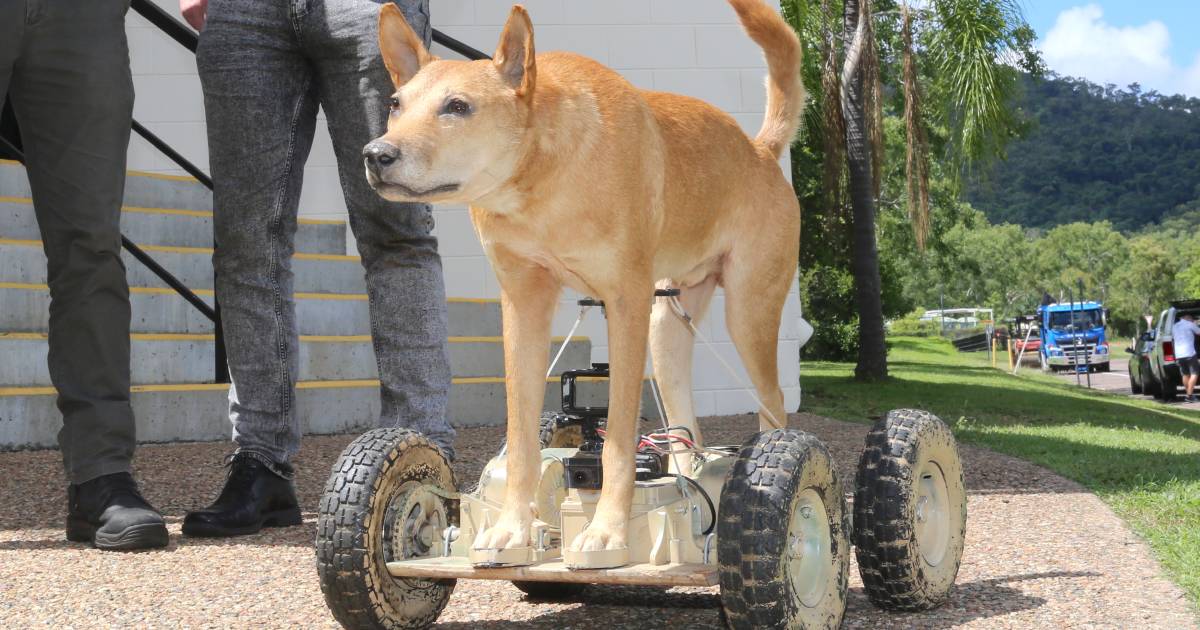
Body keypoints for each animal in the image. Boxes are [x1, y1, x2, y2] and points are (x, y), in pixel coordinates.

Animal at [360, 0, 801, 566]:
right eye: (396, 104)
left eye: (457, 106)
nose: (376, 154)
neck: (542, 173)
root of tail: (761, 152)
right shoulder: (523, 304)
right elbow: (522, 437)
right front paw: (513, 528)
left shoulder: (626, 300)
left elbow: (617, 441)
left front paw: (608, 531)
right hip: (668, 324)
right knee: (686, 425)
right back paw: (694, 490)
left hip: (747, 311)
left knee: (775, 407)